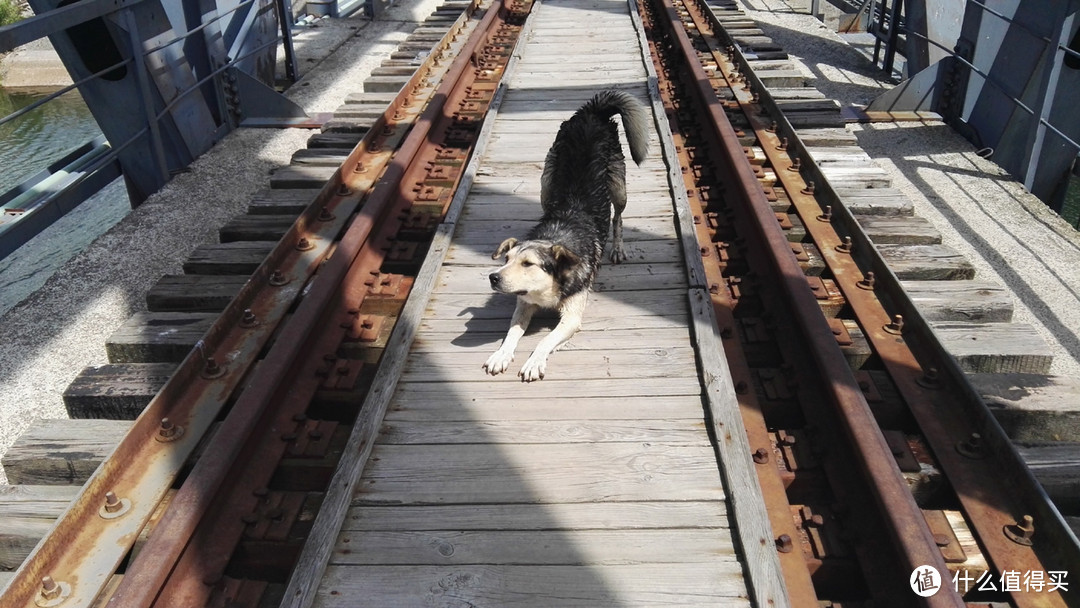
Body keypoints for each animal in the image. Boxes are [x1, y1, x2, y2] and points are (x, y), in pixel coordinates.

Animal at [483, 88, 648, 382]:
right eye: (506, 260)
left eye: (528, 264)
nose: (493, 277)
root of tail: (591, 112)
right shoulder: (523, 304)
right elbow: (511, 332)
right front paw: (501, 354)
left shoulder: (571, 317)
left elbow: (544, 340)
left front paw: (534, 361)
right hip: (546, 182)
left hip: (618, 187)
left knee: (617, 217)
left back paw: (618, 247)